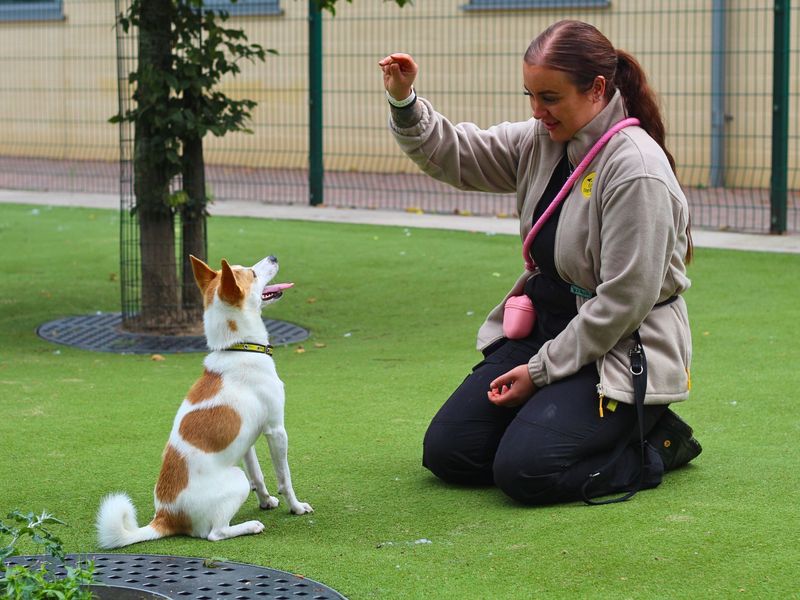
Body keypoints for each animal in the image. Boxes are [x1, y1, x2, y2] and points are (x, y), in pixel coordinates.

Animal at [97, 253, 312, 548]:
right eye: (252, 274)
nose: (273, 257)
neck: (238, 348)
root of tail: (165, 517)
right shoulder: (276, 430)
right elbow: (284, 477)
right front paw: (296, 507)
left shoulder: (248, 442)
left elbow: (258, 474)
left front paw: (266, 501)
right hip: (236, 480)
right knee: (215, 533)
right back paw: (250, 526)